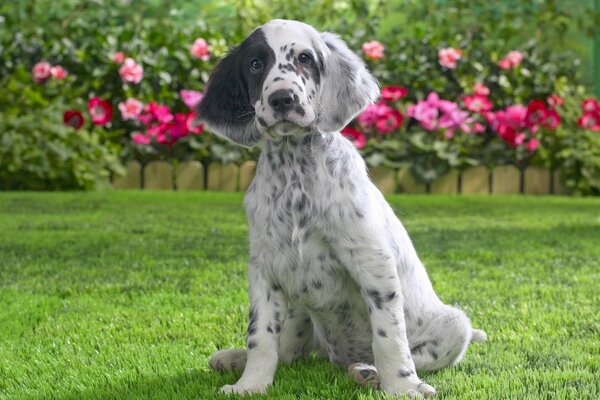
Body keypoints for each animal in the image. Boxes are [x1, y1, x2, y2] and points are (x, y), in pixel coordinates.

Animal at [198, 18, 488, 396]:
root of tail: (339, 356)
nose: (282, 98)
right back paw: (234, 358)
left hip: (455, 323)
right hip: (300, 311)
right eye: (256, 64)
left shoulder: (371, 260)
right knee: (289, 351)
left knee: (415, 352)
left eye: (305, 58)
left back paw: (369, 371)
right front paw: (250, 384)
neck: (295, 173)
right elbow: (260, 336)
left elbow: (390, 336)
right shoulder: (264, 266)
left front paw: (402, 388)